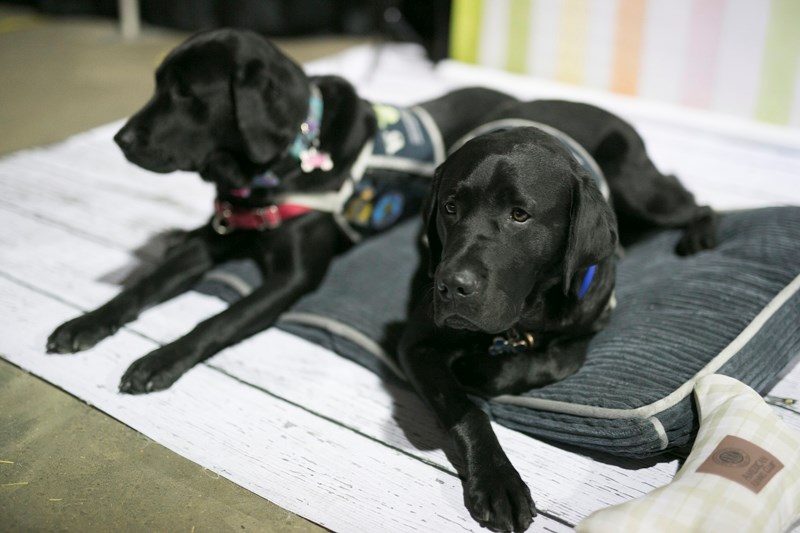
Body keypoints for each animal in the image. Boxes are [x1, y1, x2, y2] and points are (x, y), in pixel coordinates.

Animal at [47, 30, 516, 394]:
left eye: (185, 93)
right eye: (158, 84)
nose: (120, 139)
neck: (275, 166)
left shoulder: (291, 277)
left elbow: (218, 320)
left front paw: (159, 360)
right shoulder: (215, 237)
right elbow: (144, 285)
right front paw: (85, 322)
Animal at [396, 101, 716, 532]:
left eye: (519, 215)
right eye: (450, 208)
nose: (451, 286)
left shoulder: (588, 324)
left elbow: (550, 362)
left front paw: (489, 371)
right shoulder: (416, 343)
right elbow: (467, 411)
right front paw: (498, 480)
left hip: (642, 191)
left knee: (696, 202)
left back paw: (700, 235)